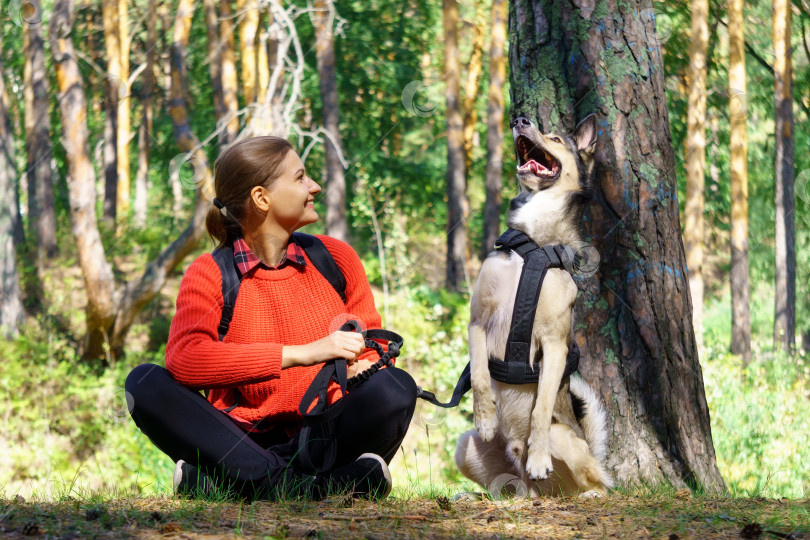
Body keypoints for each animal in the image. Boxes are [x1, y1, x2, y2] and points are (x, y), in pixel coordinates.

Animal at [454, 115, 612, 498]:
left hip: (566, 443)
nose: (520, 120)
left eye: (555, 138)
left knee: (597, 481)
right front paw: (484, 416)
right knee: (504, 488)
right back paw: (478, 494)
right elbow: (479, 374)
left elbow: (540, 409)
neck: (532, 245)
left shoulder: (554, 343)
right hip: (465, 448)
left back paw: (580, 488)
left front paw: (538, 457)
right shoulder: (477, 322)